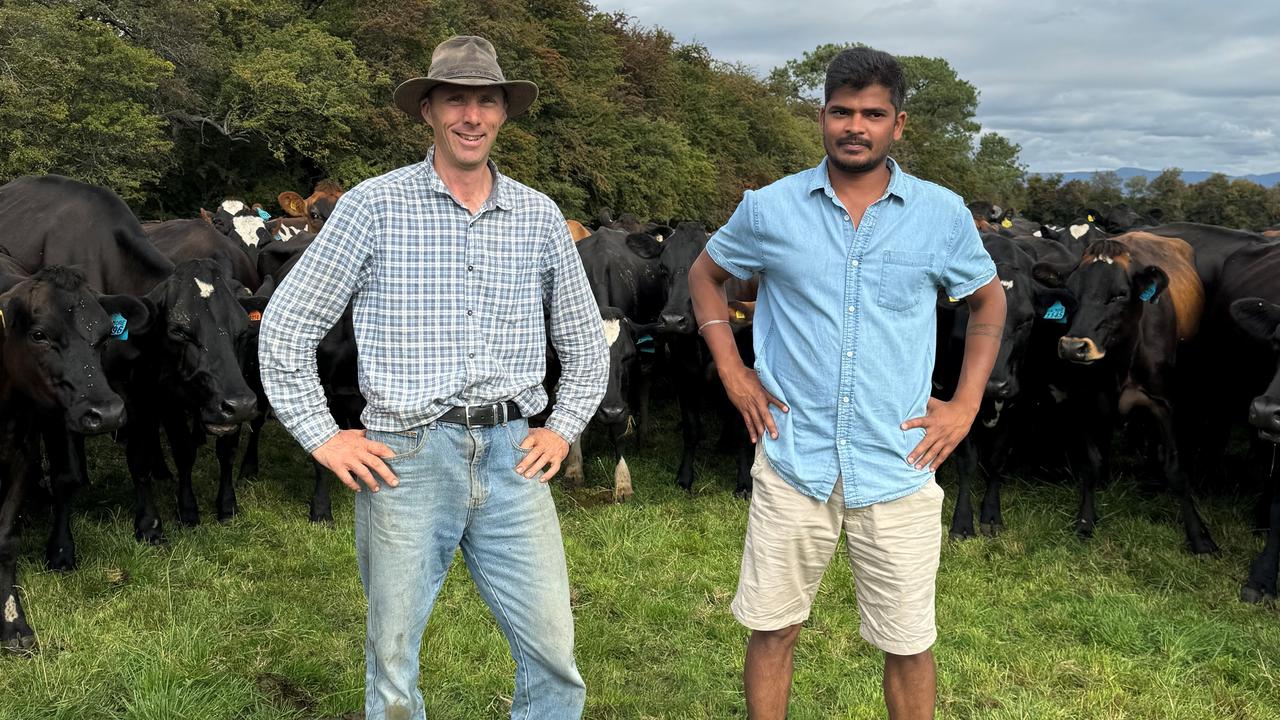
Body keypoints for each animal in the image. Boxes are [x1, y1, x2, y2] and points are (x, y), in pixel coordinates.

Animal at [1034, 233, 1213, 550]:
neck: (1118, 363)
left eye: (1119, 295)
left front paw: (1199, 535)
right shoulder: (1084, 398)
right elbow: (1090, 463)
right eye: (1071, 293)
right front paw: (1085, 520)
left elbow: (1176, 469)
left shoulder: (1163, 404)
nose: (1072, 347)